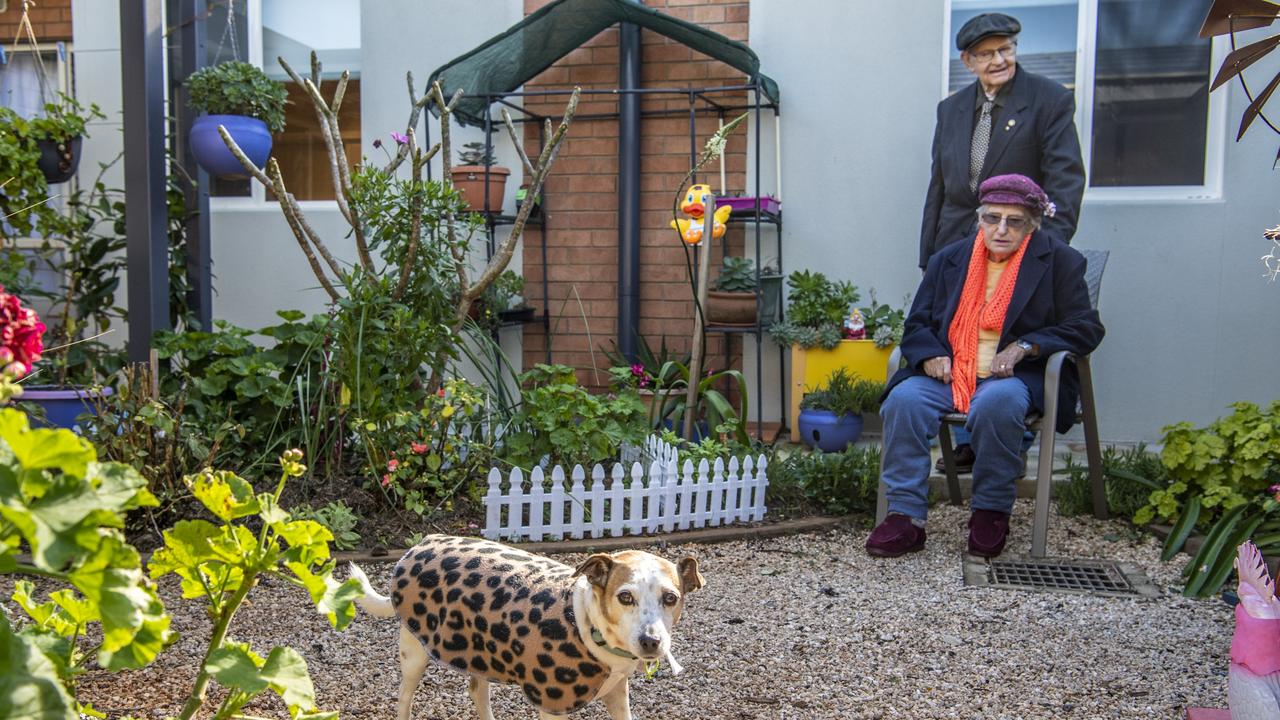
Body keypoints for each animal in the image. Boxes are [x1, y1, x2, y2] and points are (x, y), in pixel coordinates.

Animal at [350, 532, 706, 717]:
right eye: (625, 597)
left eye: (671, 597)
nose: (651, 641)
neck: (586, 623)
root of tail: (420, 544)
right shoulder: (551, 706)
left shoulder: (618, 692)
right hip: (414, 654)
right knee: (404, 698)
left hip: (479, 651)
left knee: (477, 691)